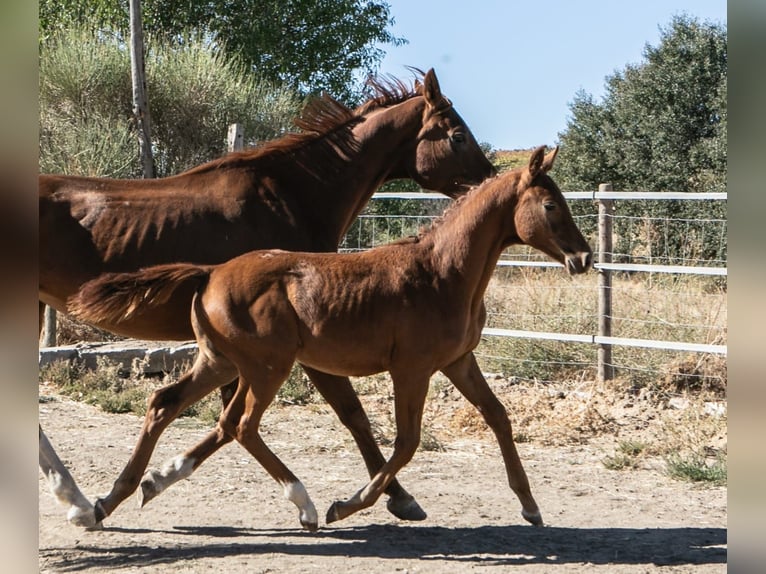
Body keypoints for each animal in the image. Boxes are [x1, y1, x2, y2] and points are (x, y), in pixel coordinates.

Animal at [39, 68, 496, 527]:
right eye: (457, 135)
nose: (490, 181)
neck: (292, 197)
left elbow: (221, 420)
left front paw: (149, 481)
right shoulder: (305, 345)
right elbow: (351, 413)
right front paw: (396, 498)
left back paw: (82, 500)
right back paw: (76, 499)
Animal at [69, 145, 593, 530]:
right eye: (550, 205)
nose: (583, 257)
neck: (442, 273)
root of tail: (210, 273)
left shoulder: (459, 361)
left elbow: (498, 416)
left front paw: (530, 506)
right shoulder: (412, 368)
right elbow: (407, 442)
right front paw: (351, 503)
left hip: (222, 362)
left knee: (174, 406)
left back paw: (126, 493)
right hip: (268, 368)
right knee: (241, 425)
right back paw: (306, 506)